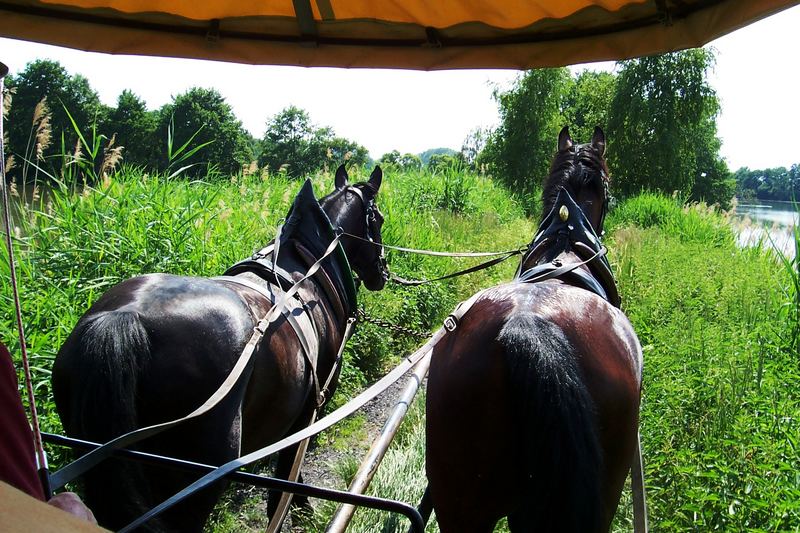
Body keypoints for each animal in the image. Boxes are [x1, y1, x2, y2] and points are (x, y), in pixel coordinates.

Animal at [51, 165, 390, 528]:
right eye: (379, 218)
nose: (382, 273)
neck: (308, 260)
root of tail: (123, 317)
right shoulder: (312, 406)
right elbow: (287, 472)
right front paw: (299, 509)